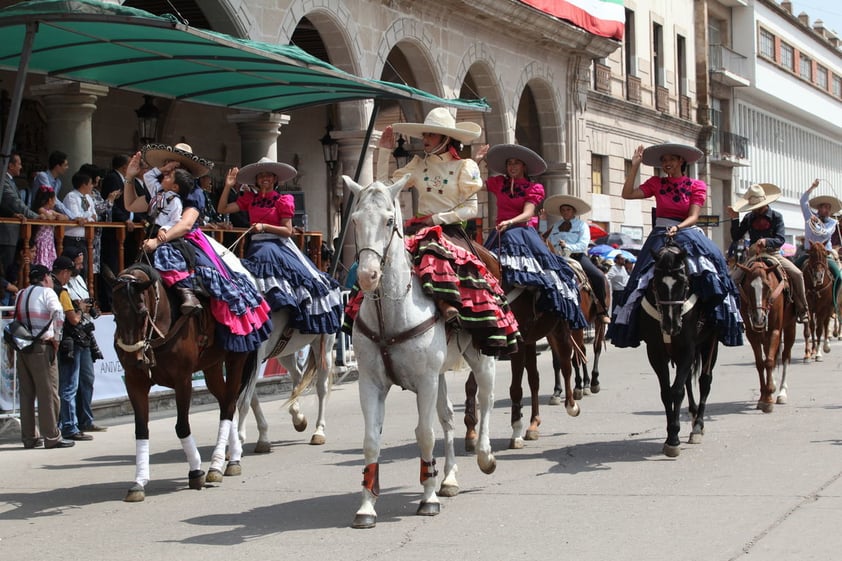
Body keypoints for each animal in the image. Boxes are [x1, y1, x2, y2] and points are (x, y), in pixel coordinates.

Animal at [108, 264, 254, 500]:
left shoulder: (183, 380)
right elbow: (141, 430)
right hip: (212, 366)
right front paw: (139, 482)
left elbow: (182, 426)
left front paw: (196, 471)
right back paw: (230, 457)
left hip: (236, 360)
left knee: (229, 406)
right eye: (114, 312)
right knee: (226, 402)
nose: (131, 359)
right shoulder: (134, 382)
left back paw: (219, 464)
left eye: (142, 311)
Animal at [342, 176, 496, 528]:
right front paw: (366, 506)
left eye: (389, 220)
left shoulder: (425, 381)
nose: (368, 276)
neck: (390, 313)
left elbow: (425, 434)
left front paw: (428, 499)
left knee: (485, 400)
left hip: (482, 359)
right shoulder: (371, 383)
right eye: (355, 220)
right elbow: (371, 441)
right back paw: (449, 479)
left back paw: (485, 455)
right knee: (448, 418)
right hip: (440, 375)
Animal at [736, 255, 796, 412]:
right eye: (748, 287)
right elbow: (760, 363)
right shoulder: (752, 334)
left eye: (768, 287)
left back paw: (781, 393)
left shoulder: (775, 330)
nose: (759, 318)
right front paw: (764, 396)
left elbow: (769, 361)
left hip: (789, 327)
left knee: (785, 356)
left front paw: (768, 400)